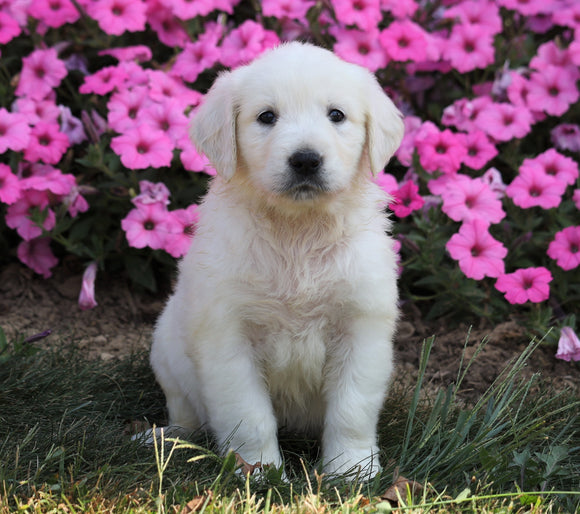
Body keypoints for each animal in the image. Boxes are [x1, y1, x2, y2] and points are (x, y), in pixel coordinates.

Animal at [150, 42, 404, 478]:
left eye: (336, 115)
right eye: (267, 116)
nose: (305, 160)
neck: (296, 230)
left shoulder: (361, 327)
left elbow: (351, 410)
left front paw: (351, 471)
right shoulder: (228, 336)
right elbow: (249, 416)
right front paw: (260, 473)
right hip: (166, 350)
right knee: (186, 416)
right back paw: (168, 439)